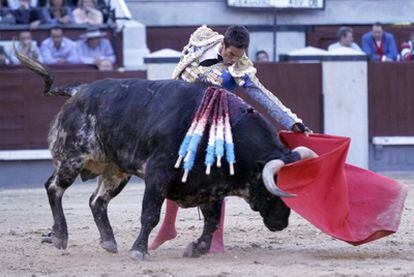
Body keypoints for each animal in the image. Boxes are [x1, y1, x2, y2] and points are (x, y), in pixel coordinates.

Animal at [14, 49, 316, 258]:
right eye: (273, 191)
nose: (281, 223)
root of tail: (78, 90)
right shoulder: (157, 174)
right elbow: (150, 214)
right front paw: (139, 250)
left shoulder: (210, 183)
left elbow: (212, 220)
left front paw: (197, 248)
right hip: (72, 157)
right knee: (54, 187)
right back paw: (60, 236)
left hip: (115, 170)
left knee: (97, 201)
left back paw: (109, 241)